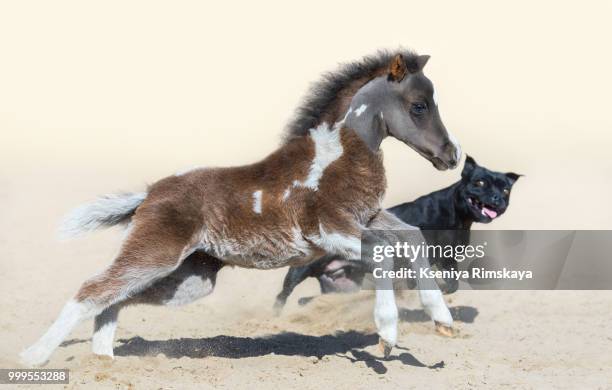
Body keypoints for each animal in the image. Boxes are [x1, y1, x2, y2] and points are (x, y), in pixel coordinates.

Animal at [21, 49, 462, 366]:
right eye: (419, 106)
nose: (451, 156)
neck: (336, 154)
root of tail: (149, 194)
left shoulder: (368, 218)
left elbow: (412, 237)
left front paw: (443, 321)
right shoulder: (329, 230)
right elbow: (385, 253)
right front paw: (387, 336)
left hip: (189, 278)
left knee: (116, 297)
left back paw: (103, 359)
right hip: (156, 253)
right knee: (94, 289)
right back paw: (34, 356)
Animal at [274, 155, 520, 310]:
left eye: (505, 189)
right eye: (480, 182)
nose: (497, 198)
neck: (457, 216)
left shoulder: (447, 260)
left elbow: (452, 285)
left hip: (343, 285)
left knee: (310, 299)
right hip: (300, 272)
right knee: (282, 295)